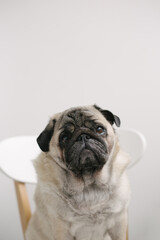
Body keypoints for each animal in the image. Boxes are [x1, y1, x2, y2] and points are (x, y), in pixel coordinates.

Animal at [25, 105, 130, 240]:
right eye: (64, 137)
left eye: (99, 129)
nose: (83, 136)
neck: (89, 185)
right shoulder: (62, 229)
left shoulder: (118, 222)